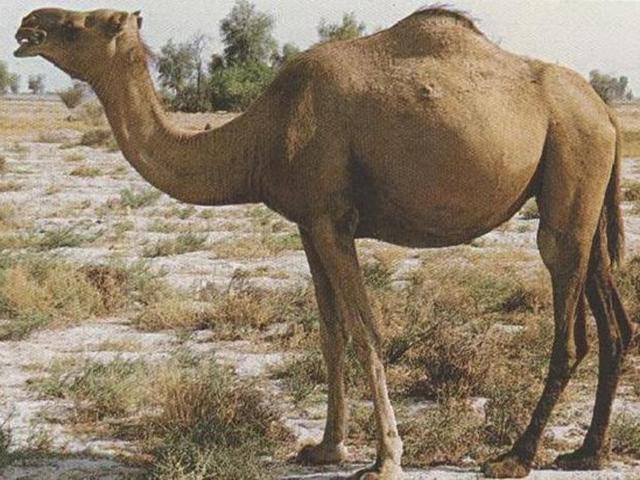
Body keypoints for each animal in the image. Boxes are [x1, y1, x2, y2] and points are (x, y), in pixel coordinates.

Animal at [14, 6, 636, 479]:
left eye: (81, 24)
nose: (26, 25)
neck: (260, 137)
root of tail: (604, 110)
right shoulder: (308, 223)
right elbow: (331, 332)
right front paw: (325, 447)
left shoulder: (333, 219)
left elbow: (366, 332)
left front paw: (385, 459)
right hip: (585, 185)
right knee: (613, 318)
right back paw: (585, 452)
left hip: (570, 166)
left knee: (569, 321)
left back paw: (515, 457)